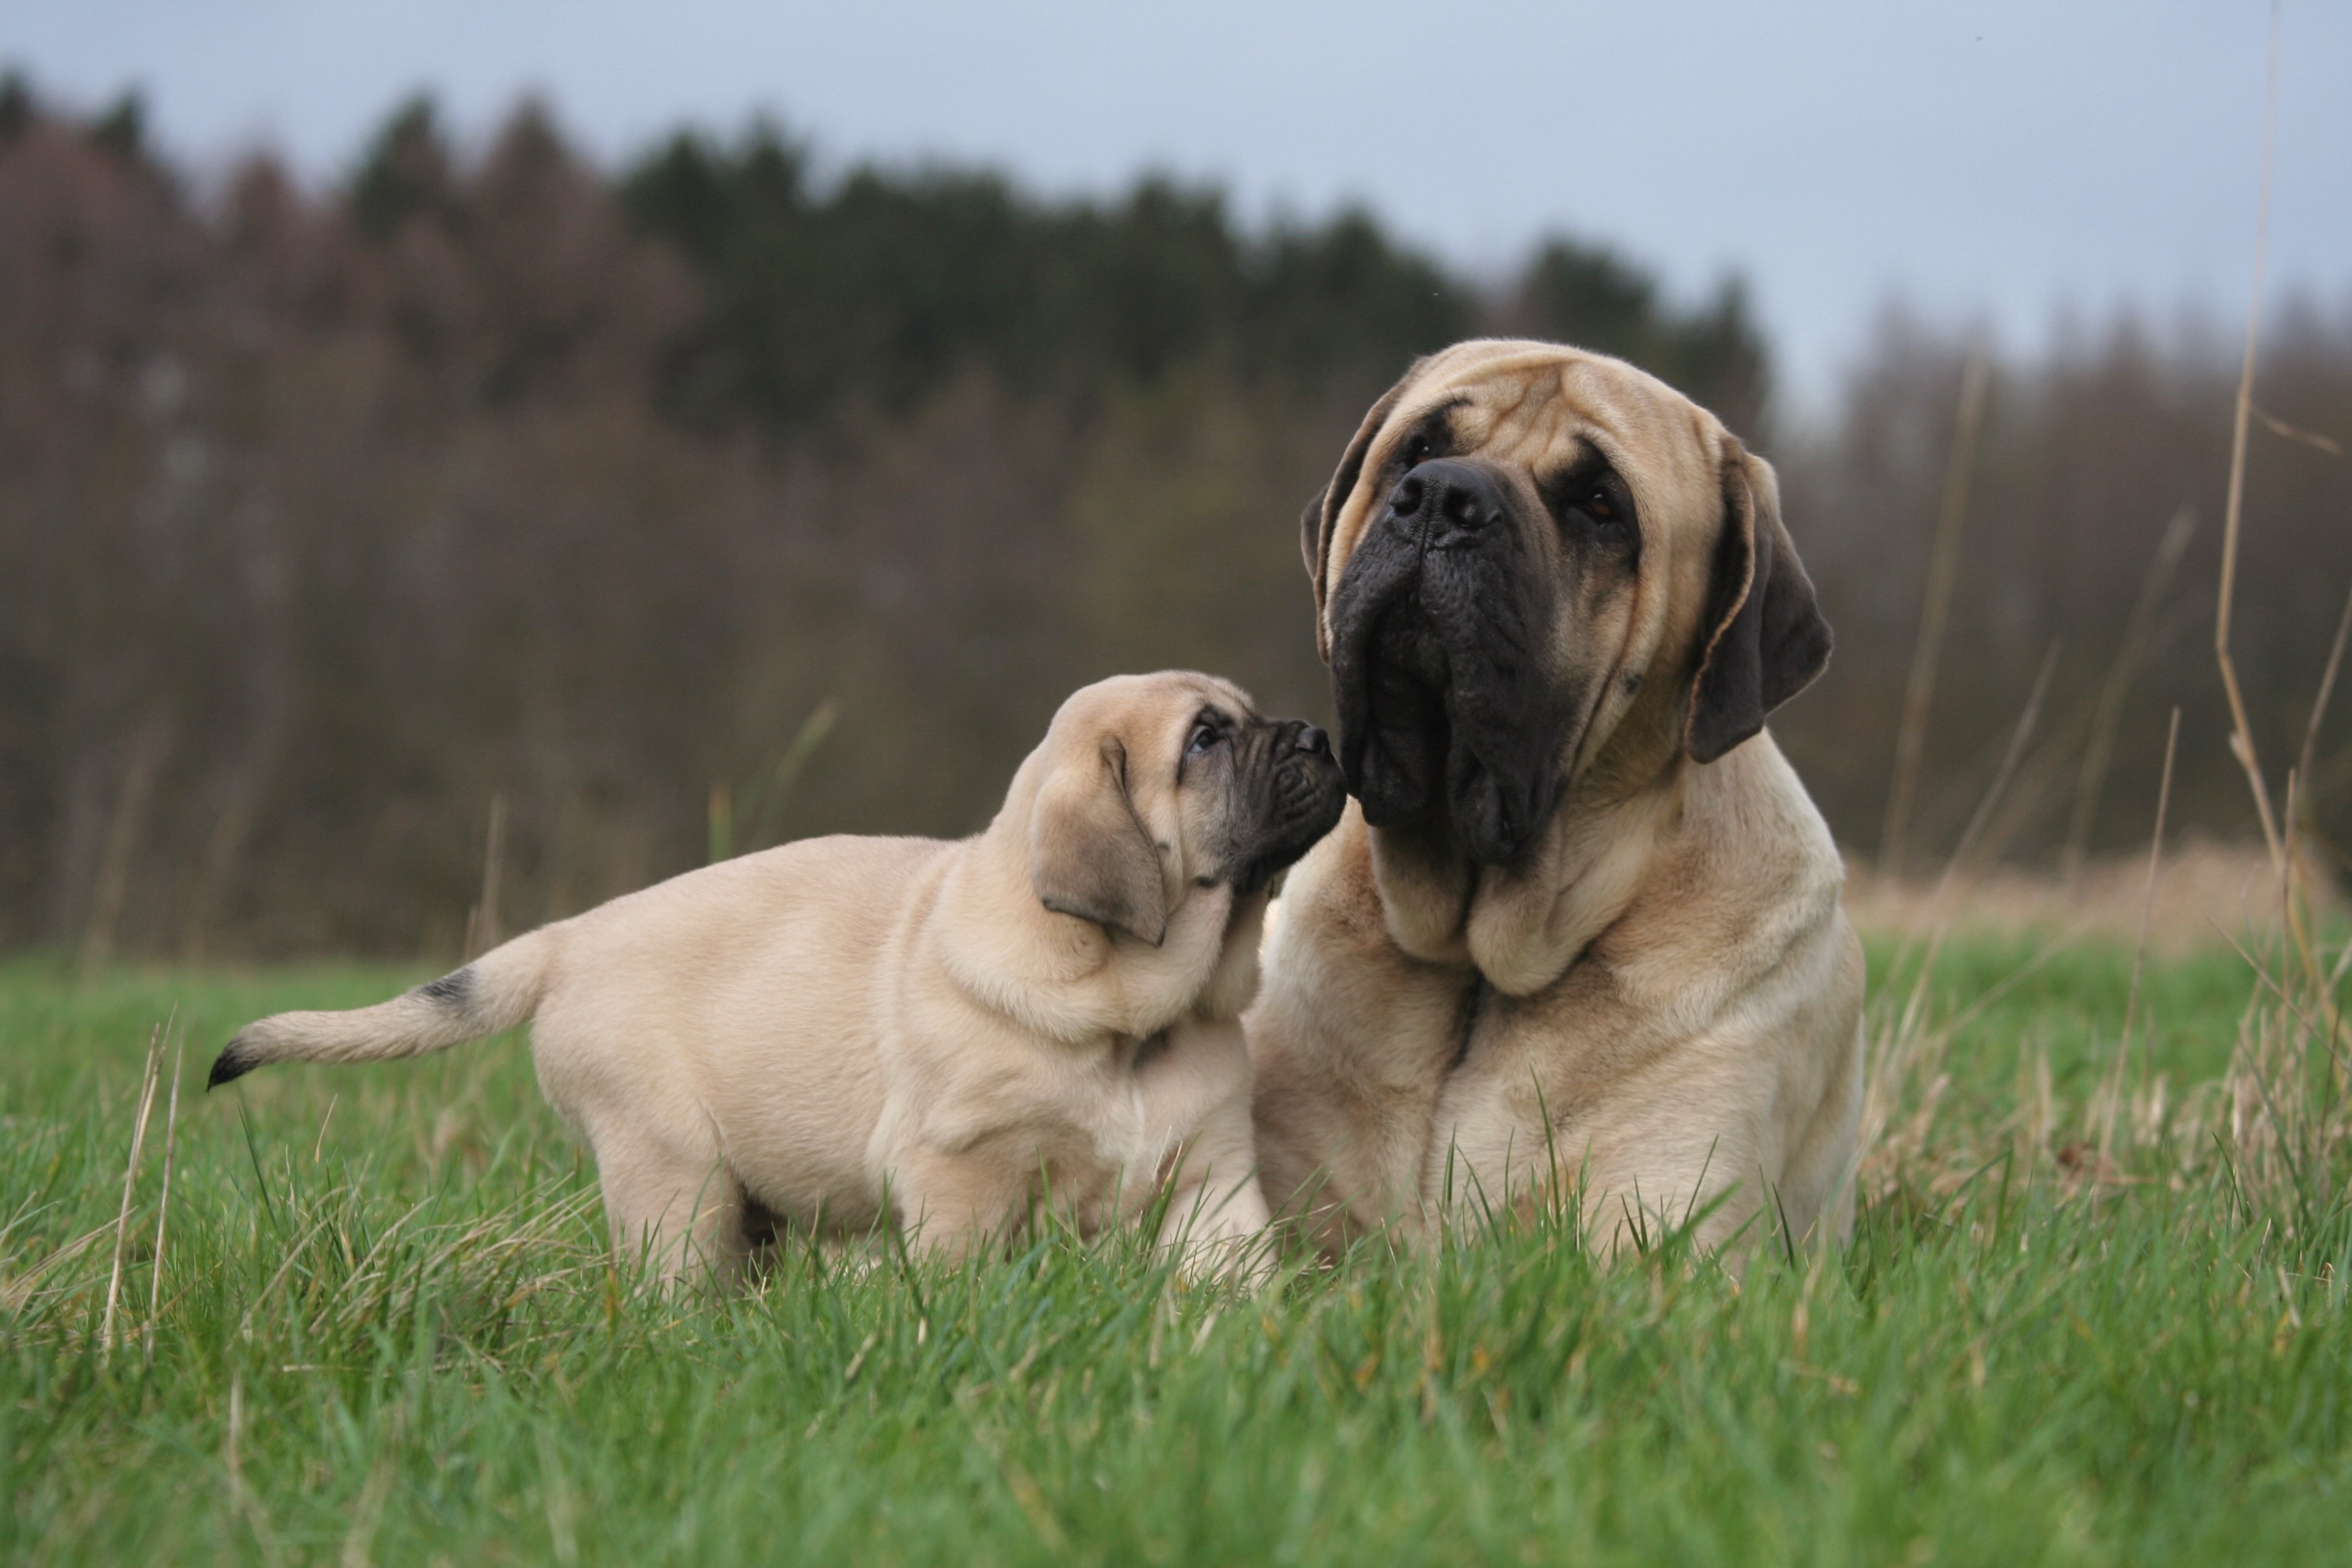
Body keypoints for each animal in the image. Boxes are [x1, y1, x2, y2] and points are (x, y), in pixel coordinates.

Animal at [212, 668, 1354, 1279]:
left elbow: (1237, 1281)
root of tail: (569, 935)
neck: (1130, 1020)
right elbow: (967, 1282)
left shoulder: (1209, 1182)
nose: (1318, 732)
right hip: (675, 1176)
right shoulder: (960, 1180)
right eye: (1205, 740)